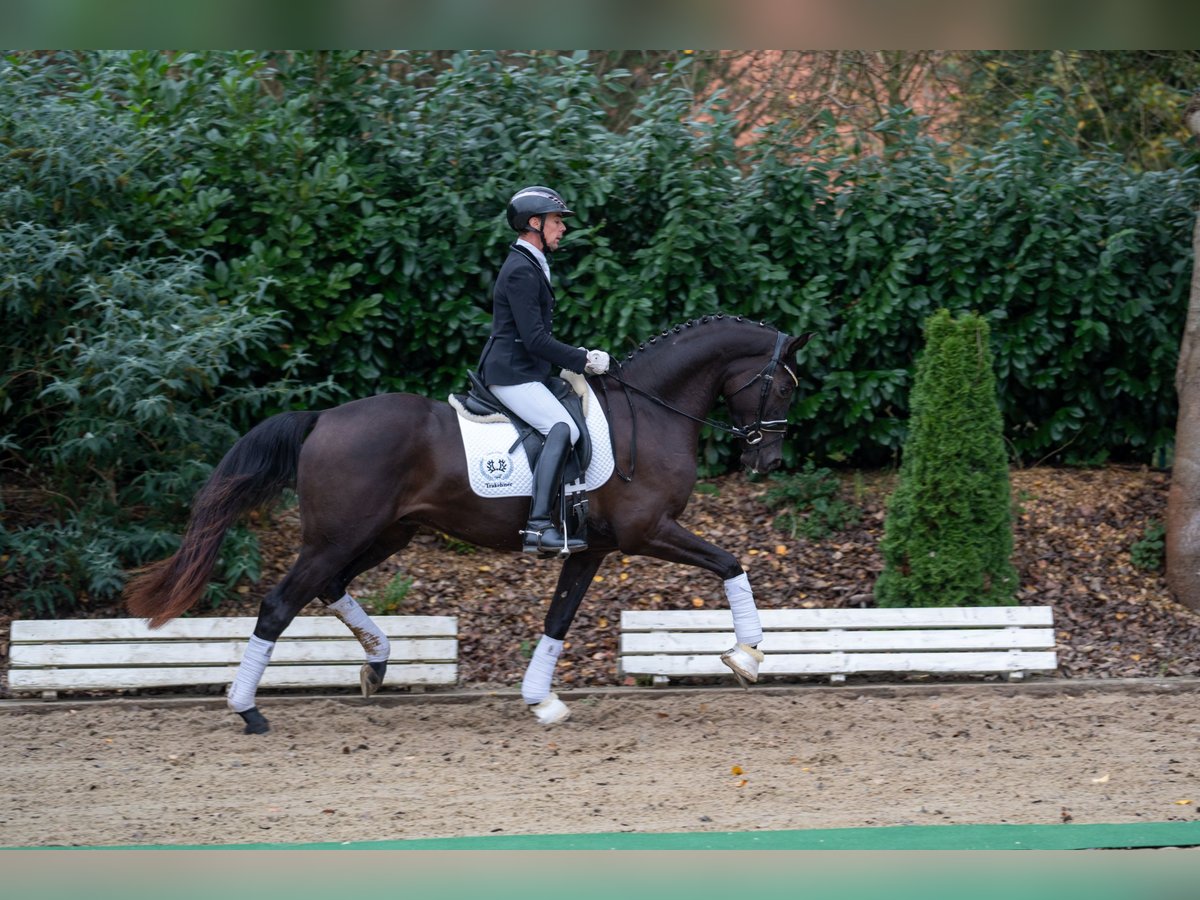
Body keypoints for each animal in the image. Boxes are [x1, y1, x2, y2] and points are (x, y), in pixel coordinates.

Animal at [121, 314, 811, 734]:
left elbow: (558, 619)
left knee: (327, 589)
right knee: (279, 604)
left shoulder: (591, 549)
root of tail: (322, 419)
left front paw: (542, 700)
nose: (769, 462)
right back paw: (247, 710)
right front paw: (747, 655)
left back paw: (377, 663)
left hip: (383, 534)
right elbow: (730, 563)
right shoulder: (649, 532)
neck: (651, 411)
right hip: (338, 537)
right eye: (782, 387)